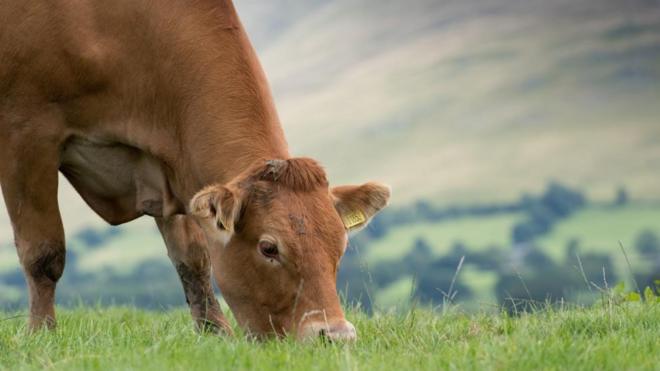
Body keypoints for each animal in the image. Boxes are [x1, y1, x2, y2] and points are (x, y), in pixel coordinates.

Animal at [0, 0, 390, 342]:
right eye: (269, 248)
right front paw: (41, 334)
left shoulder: (169, 164)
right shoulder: (25, 133)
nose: (336, 336)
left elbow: (193, 259)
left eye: (340, 245)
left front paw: (215, 333)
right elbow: (43, 252)